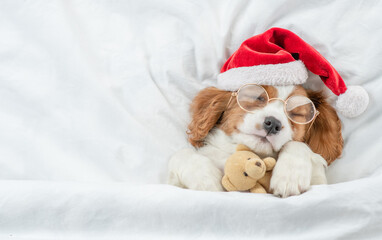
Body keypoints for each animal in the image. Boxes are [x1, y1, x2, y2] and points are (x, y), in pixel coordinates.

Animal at [168, 84, 344, 197]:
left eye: (296, 113)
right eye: (257, 97)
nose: (273, 123)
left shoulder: (319, 183)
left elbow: (297, 145)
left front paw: (290, 175)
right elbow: (181, 154)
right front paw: (205, 178)